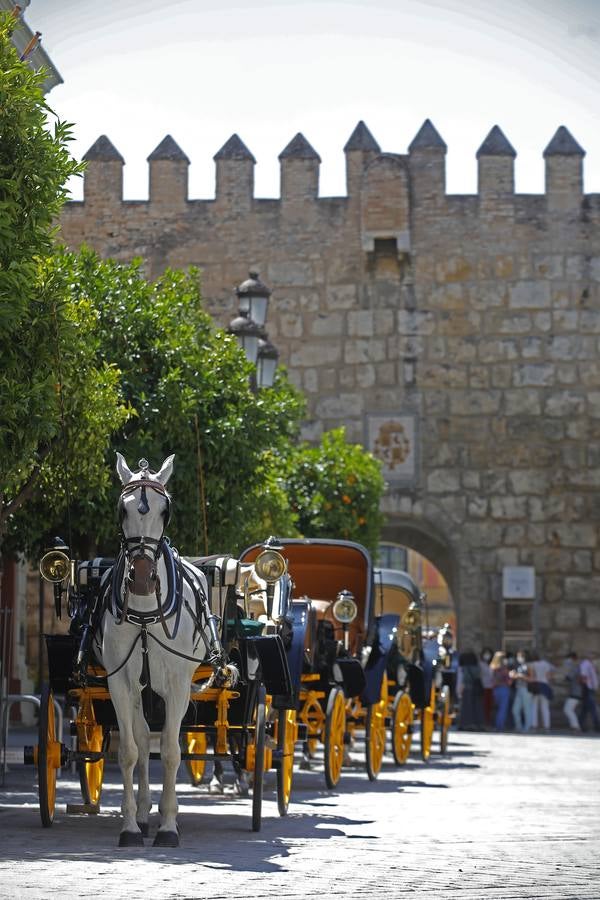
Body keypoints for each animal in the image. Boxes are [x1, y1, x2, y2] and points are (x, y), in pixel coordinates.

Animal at [101, 454, 234, 848]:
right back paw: (145, 815)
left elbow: (174, 753)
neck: (146, 612)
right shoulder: (120, 684)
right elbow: (130, 751)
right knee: (145, 741)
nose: (143, 578)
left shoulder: (177, 686)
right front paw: (131, 826)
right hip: (140, 692)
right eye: (122, 509)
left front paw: (169, 826)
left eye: (165, 511)